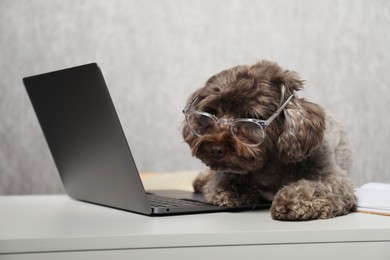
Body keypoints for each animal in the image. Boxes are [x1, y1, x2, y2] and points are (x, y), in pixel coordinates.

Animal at [183, 60, 356, 220]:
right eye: (210, 114)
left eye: (250, 117)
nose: (215, 149)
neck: (269, 168)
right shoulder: (226, 175)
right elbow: (225, 182)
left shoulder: (335, 180)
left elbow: (316, 187)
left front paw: (291, 200)